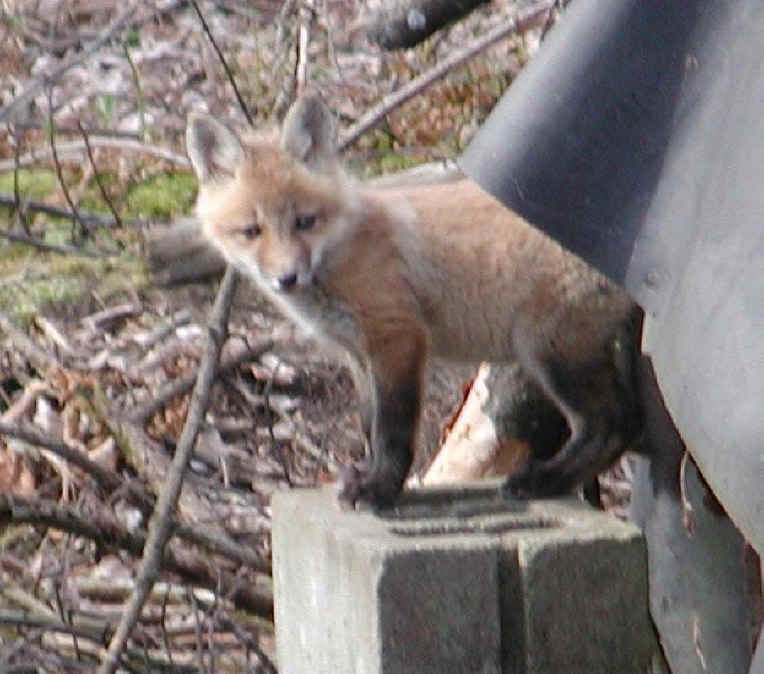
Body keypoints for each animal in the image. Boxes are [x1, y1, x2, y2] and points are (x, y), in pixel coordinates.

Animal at [186, 95, 643, 509]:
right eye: (251, 231)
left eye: (304, 221)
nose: (287, 278)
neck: (345, 251)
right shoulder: (358, 354)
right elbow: (369, 425)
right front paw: (369, 475)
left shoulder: (396, 337)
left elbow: (393, 429)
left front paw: (381, 488)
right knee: (626, 423)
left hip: (549, 351)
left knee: (614, 424)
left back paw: (544, 480)